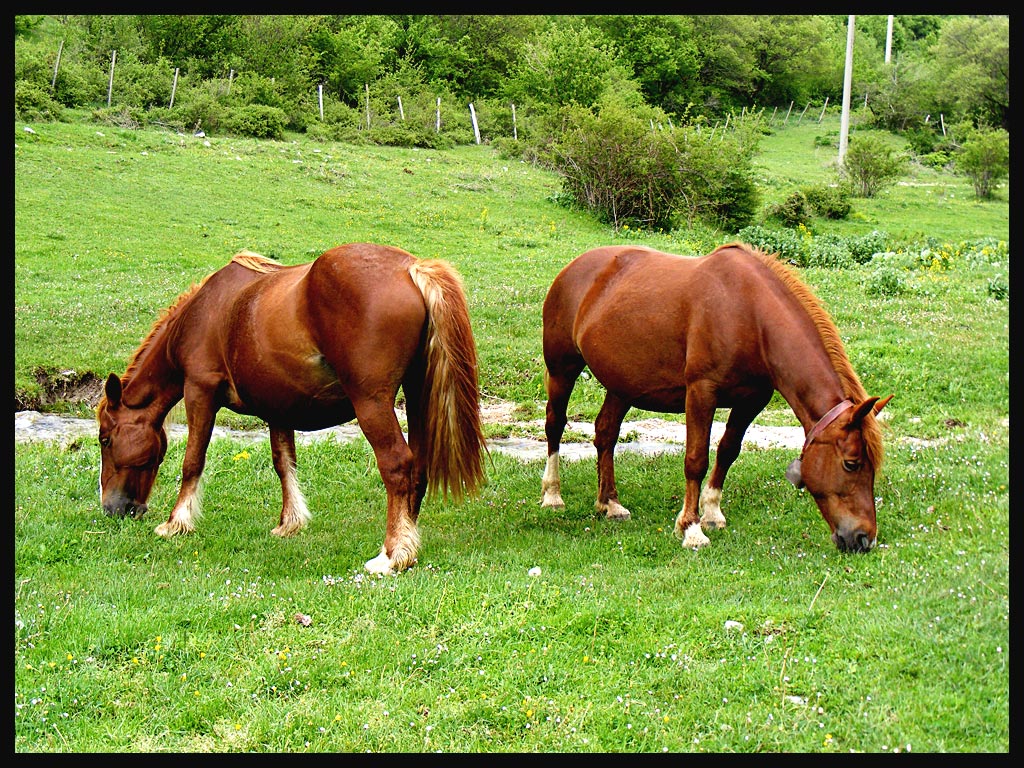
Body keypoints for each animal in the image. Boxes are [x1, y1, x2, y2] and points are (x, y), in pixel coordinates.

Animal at [96, 243, 487, 574]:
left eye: (104, 439)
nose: (113, 508)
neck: (205, 313)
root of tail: (411, 268)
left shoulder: (199, 392)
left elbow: (193, 461)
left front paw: (176, 522)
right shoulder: (278, 408)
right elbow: (284, 463)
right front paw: (289, 523)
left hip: (372, 403)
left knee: (397, 466)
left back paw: (392, 554)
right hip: (417, 392)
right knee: (417, 469)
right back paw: (409, 541)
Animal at [540, 242, 892, 554]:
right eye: (851, 464)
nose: (864, 539)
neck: (750, 314)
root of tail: (574, 268)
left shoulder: (752, 400)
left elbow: (727, 451)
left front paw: (711, 513)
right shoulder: (701, 392)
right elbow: (696, 459)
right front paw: (691, 529)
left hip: (622, 383)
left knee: (606, 433)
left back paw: (610, 503)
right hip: (562, 370)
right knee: (555, 424)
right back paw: (553, 495)